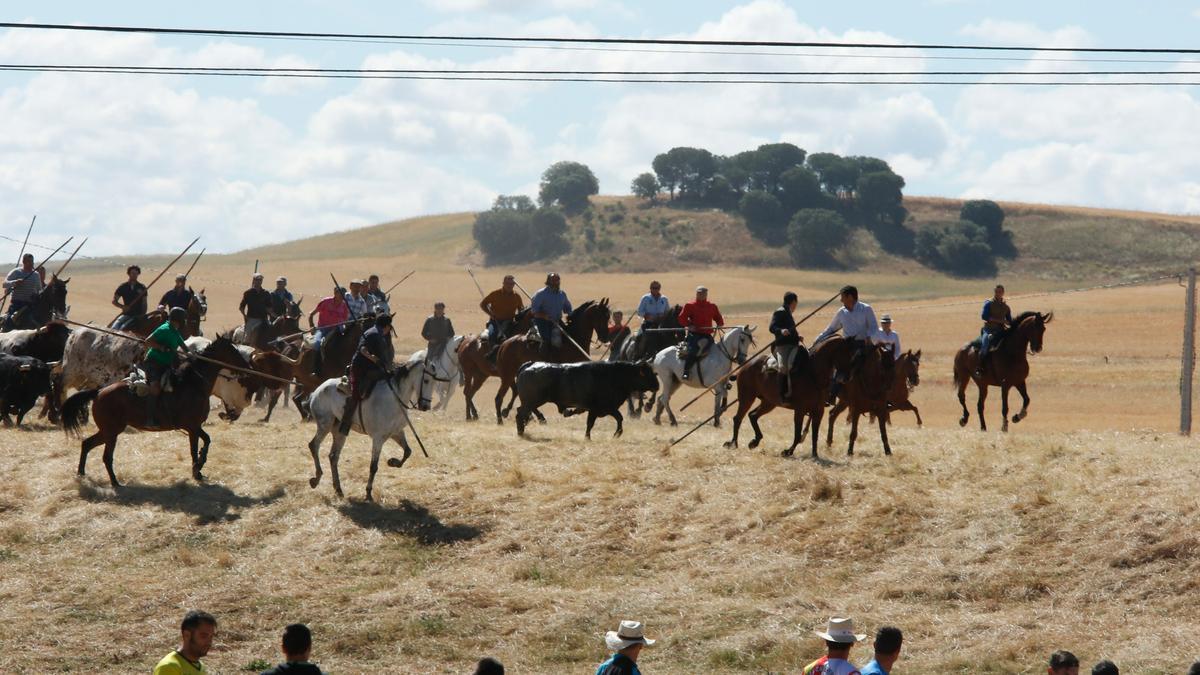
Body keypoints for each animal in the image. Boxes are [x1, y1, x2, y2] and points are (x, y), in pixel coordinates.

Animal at [62, 333, 248, 482]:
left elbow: (205, 441)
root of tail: (99, 392)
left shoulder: (194, 427)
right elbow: (197, 448)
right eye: (233, 350)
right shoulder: (192, 427)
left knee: (87, 444)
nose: (246, 368)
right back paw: (115, 482)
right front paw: (197, 469)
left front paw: (199, 468)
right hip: (111, 432)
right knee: (106, 457)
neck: (193, 384)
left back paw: (81, 473)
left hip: (108, 431)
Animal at [302, 362, 424, 499]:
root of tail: (317, 391)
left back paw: (338, 489)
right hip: (325, 424)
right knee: (314, 445)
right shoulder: (378, 438)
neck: (395, 398)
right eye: (426, 378)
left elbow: (408, 451)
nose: (424, 405)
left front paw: (393, 462)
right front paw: (368, 494)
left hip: (339, 431)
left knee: (333, 456)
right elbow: (373, 466)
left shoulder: (396, 432)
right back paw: (316, 479)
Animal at [516, 357, 662, 437]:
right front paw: (589, 438)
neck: (614, 375)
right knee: (520, 413)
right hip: (532, 401)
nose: (657, 385)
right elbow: (591, 423)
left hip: (532, 401)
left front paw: (617, 434)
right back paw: (521, 432)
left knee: (523, 412)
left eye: (653, 372)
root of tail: (530, 364)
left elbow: (618, 418)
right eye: (645, 374)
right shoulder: (598, 408)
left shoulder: (606, 408)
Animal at [720, 333, 854, 456]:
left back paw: (754, 441)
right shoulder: (800, 410)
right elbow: (798, 433)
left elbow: (814, 434)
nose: (847, 377)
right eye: (845, 353)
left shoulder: (818, 411)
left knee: (753, 415)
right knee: (738, 418)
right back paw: (733, 443)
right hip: (747, 397)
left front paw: (815, 454)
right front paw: (788, 451)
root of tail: (744, 368)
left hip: (769, 403)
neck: (813, 374)